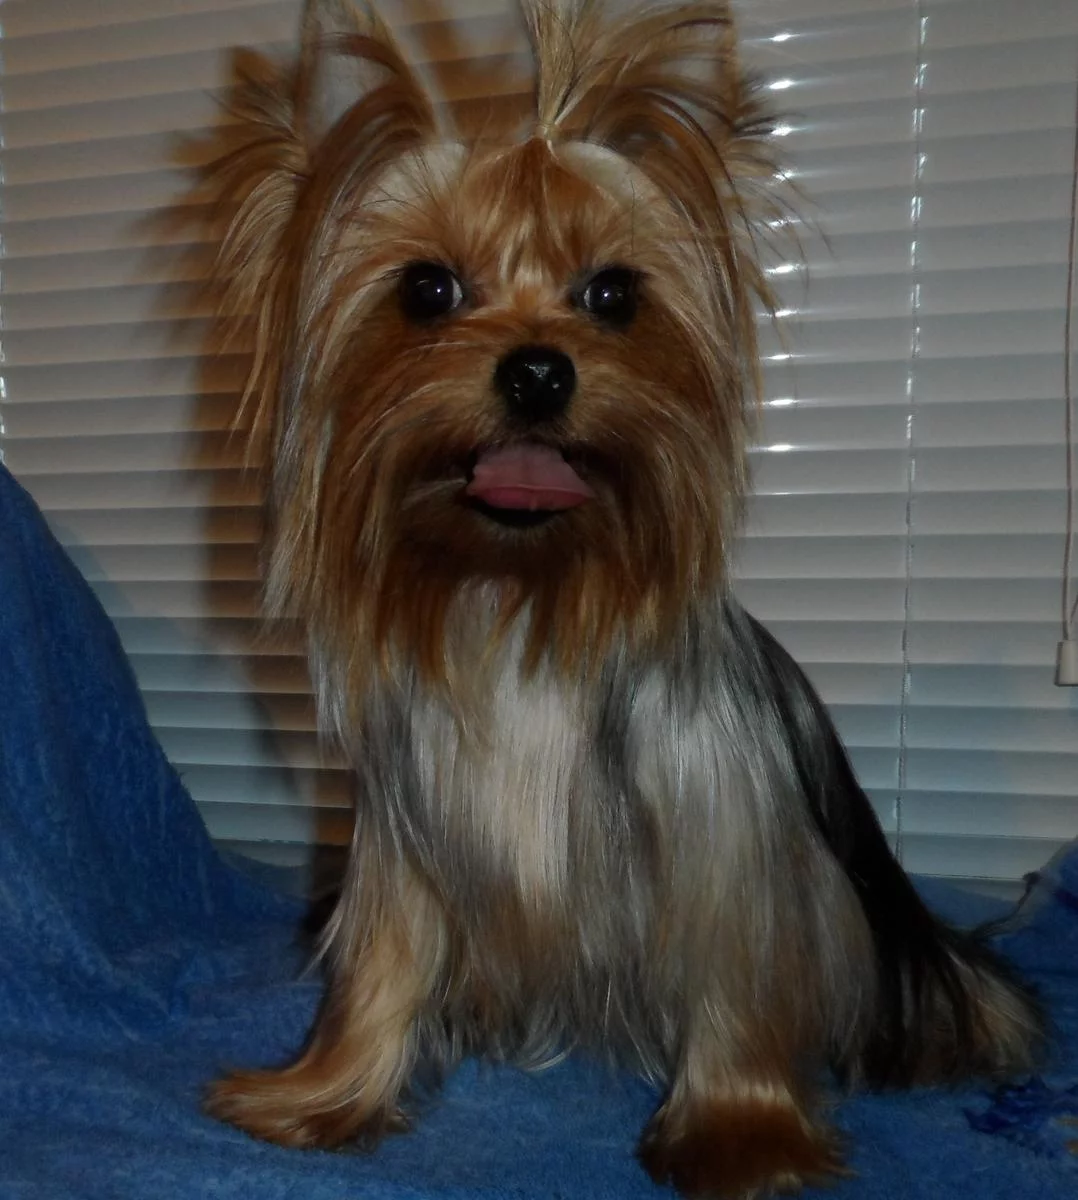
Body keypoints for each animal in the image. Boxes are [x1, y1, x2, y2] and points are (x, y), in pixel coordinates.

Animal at [202, 2, 1045, 1194]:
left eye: (613, 294)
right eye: (426, 290)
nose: (538, 370)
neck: (523, 596)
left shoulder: (728, 841)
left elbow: (739, 973)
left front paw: (738, 1136)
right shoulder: (408, 846)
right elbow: (385, 960)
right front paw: (323, 1094)